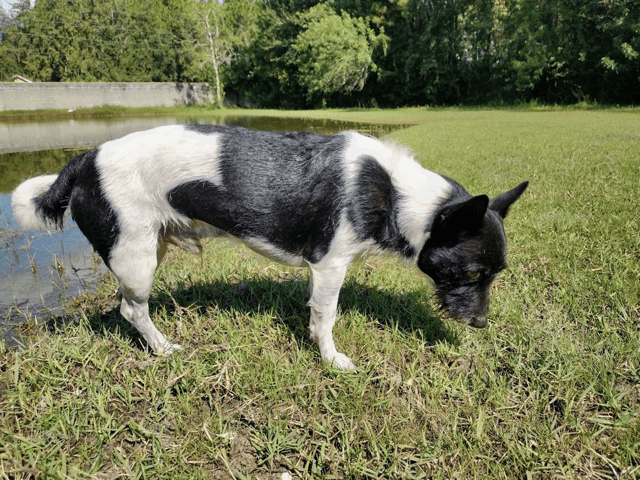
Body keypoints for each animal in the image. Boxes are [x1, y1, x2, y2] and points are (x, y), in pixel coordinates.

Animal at [12, 124, 528, 372]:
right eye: (472, 275)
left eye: (494, 276)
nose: (482, 324)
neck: (396, 192)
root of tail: (84, 159)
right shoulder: (329, 266)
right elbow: (326, 317)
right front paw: (331, 361)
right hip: (134, 257)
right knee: (132, 309)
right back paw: (161, 349)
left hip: (149, 248)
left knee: (125, 304)